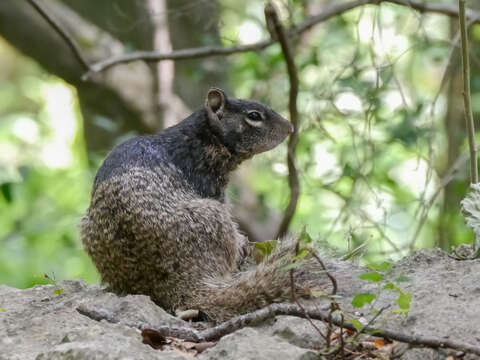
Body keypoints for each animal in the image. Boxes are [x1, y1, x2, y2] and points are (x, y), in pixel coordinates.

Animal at [81, 88, 330, 322]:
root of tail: (182, 284)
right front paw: (244, 243)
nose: (290, 127)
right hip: (214, 214)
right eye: (254, 115)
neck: (203, 136)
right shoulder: (212, 187)